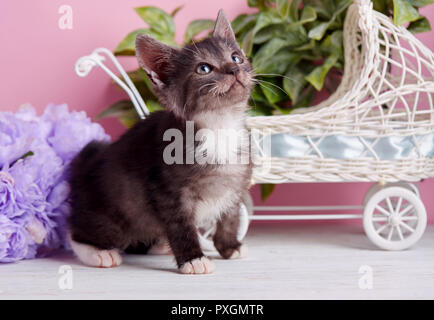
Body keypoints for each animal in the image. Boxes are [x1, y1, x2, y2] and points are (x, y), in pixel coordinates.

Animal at [66, 10, 253, 276]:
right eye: (204, 68)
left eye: (236, 57)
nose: (234, 69)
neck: (219, 126)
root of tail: (83, 168)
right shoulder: (168, 193)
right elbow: (181, 227)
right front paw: (193, 259)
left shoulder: (235, 183)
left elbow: (230, 217)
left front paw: (230, 246)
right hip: (117, 213)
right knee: (78, 231)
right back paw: (98, 253)